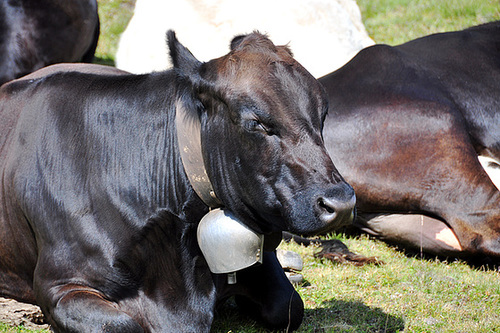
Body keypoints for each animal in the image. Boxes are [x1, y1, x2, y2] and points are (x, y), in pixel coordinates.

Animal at [0, 30, 356, 330]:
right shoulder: (59, 284)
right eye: (256, 123)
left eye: (323, 114)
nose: (340, 203)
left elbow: (288, 306)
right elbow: (122, 325)